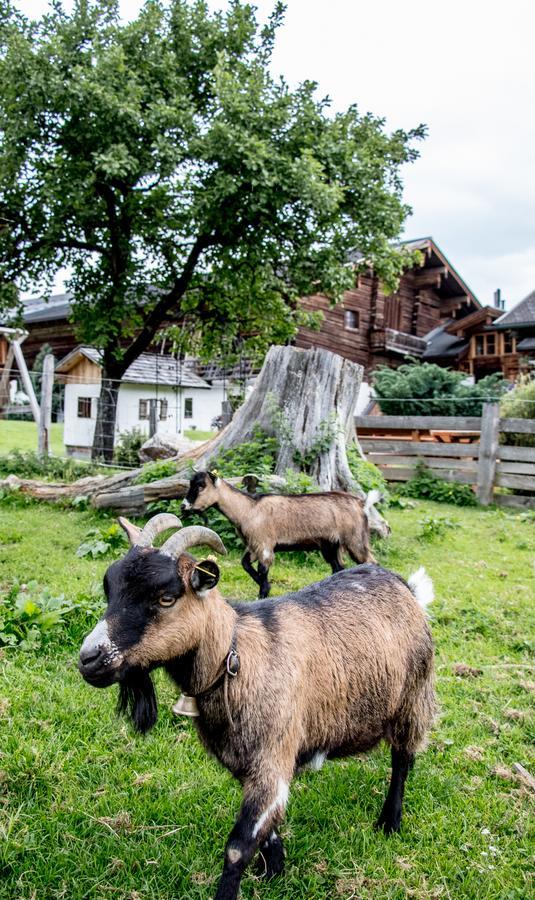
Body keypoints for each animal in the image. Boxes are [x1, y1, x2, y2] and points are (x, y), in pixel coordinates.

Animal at [80, 512, 440, 900]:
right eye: (110, 587)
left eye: (166, 597)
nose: (89, 659)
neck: (234, 655)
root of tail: (407, 587)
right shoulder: (246, 762)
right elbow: (267, 829)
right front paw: (274, 870)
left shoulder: (273, 755)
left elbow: (238, 847)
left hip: (413, 697)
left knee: (402, 759)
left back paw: (389, 822)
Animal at [183, 472, 382, 596]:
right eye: (191, 483)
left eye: (201, 486)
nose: (184, 506)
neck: (248, 509)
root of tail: (362, 503)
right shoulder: (253, 545)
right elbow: (245, 564)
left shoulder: (264, 546)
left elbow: (263, 573)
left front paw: (264, 593)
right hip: (331, 544)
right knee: (338, 567)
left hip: (355, 540)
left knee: (371, 561)